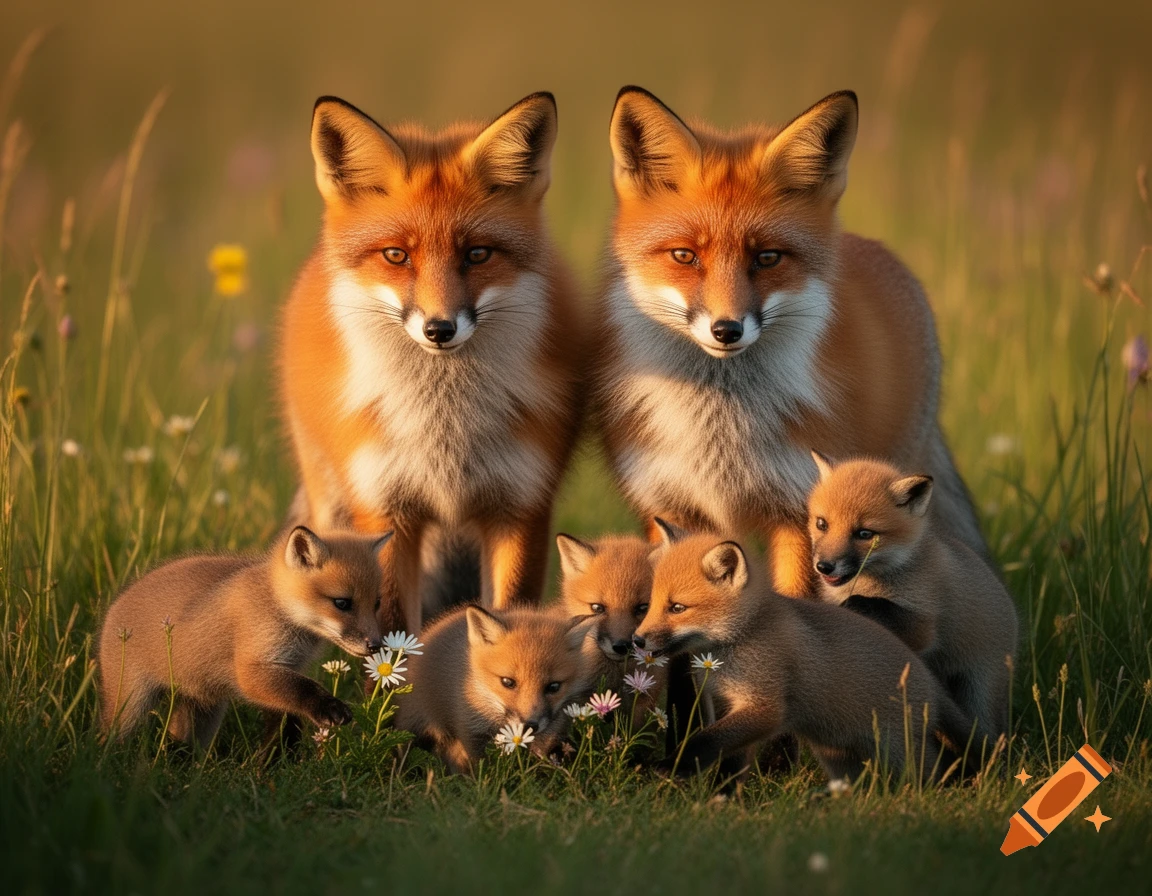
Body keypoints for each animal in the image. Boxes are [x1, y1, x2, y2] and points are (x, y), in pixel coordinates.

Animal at [98, 527, 390, 746]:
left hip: (202, 711)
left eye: (376, 603)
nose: (375, 646)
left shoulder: (288, 668)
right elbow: (304, 689)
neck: (276, 605)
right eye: (342, 603)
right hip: (129, 705)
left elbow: (289, 712)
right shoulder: (251, 670)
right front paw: (329, 707)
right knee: (108, 737)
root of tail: (115, 604)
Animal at [279, 92, 585, 634]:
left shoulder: (520, 505)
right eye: (396, 255)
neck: (444, 427)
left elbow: (509, 612)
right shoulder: (386, 509)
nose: (439, 330)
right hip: (332, 502)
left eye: (478, 254)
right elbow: (396, 627)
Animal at [591, 86, 989, 601]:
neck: (720, 435)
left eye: (767, 258)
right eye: (684, 255)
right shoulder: (668, 506)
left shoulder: (802, 510)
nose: (726, 330)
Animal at [633, 523, 975, 783]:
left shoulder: (765, 707)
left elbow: (707, 740)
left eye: (677, 608)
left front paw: (674, 765)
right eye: (651, 604)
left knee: (929, 776)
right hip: (837, 753)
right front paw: (722, 799)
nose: (636, 641)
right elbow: (730, 761)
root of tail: (928, 679)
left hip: (898, 751)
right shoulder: (732, 708)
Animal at [807, 452, 1018, 741]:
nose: (824, 566)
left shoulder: (923, 623)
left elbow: (871, 606)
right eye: (822, 524)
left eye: (864, 534)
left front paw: (852, 605)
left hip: (980, 692)